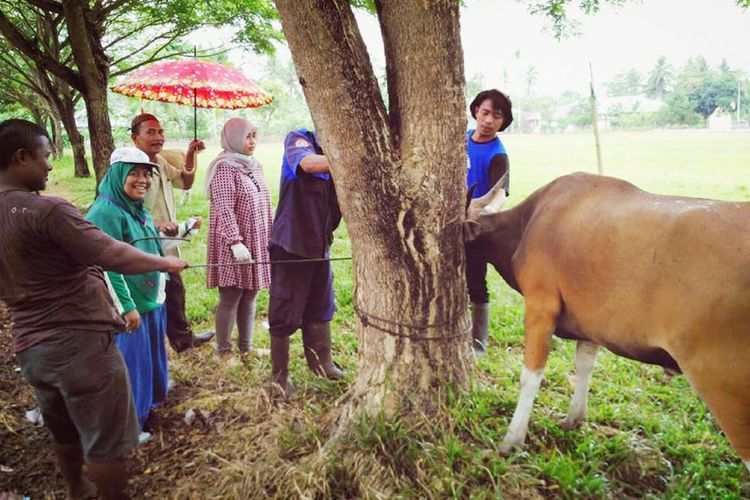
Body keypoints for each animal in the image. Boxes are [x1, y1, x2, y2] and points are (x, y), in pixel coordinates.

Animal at [468, 173, 748, 472]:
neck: (528, 222)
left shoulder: (540, 305)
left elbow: (531, 376)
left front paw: (512, 441)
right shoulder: (589, 325)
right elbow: (584, 365)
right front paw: (574, 419)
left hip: (723, 386)